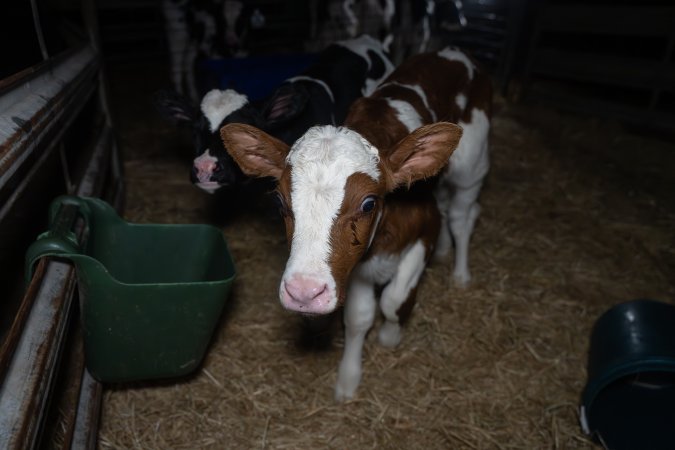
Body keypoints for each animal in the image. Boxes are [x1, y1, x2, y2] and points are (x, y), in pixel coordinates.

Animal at [219, 46, 492, 400]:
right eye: (279, 201)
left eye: (369, 203)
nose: (304, 292)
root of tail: (452, 52)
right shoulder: (356, 263)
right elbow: (360, 318)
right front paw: (348, 379)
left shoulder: (424, 231)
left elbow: (393, 300)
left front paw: (390, 337)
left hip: (472, 165)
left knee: (462, 216)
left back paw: (460, 273)